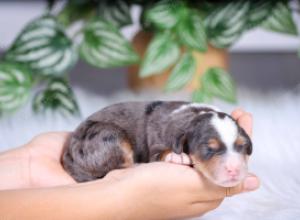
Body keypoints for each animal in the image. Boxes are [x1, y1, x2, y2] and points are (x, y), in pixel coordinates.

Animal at [62, 100, 252, 186]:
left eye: (241, 146)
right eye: (209, 149)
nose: (234, 170)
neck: (194, 115)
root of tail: (68, 153)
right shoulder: (156, 144)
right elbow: (160, 152)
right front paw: (177, 157)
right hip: (110, 137)